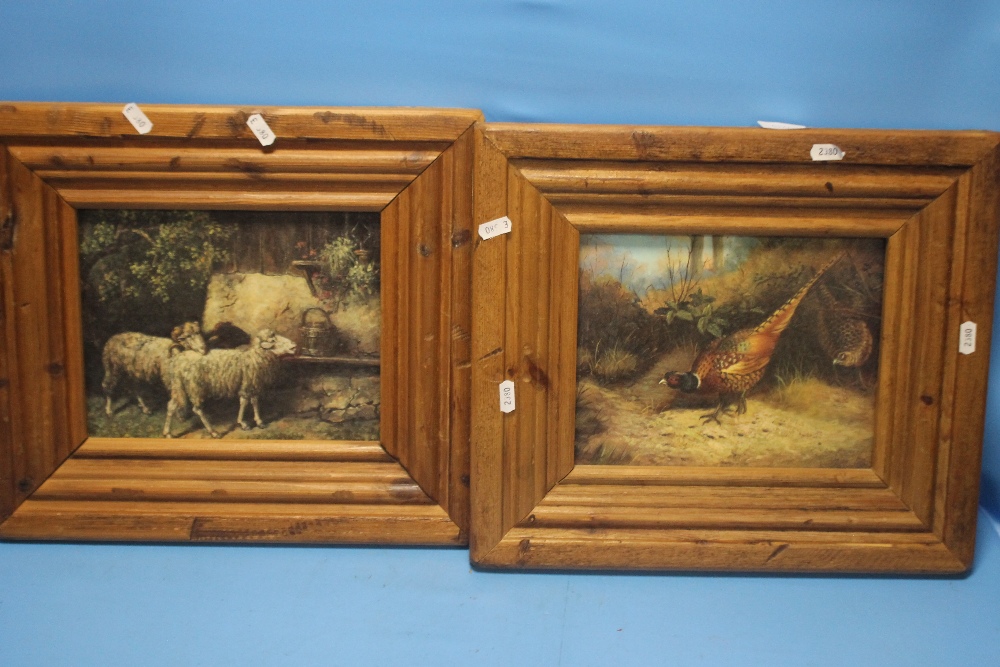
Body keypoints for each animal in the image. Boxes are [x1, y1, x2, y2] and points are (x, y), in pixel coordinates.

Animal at [162, 328, 294, 438]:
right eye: (273, 340)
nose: (294, 346)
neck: (254, 356)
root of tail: (179, 358)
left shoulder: (253, 384)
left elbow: (255, 401)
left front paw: (259, 421)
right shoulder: (246, 385)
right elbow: (244, 402)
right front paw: (242, 423)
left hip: (179, 386)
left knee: (171, 405)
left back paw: (167, 433)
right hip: (195, 386)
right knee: (197, 409)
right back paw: (213, 432)